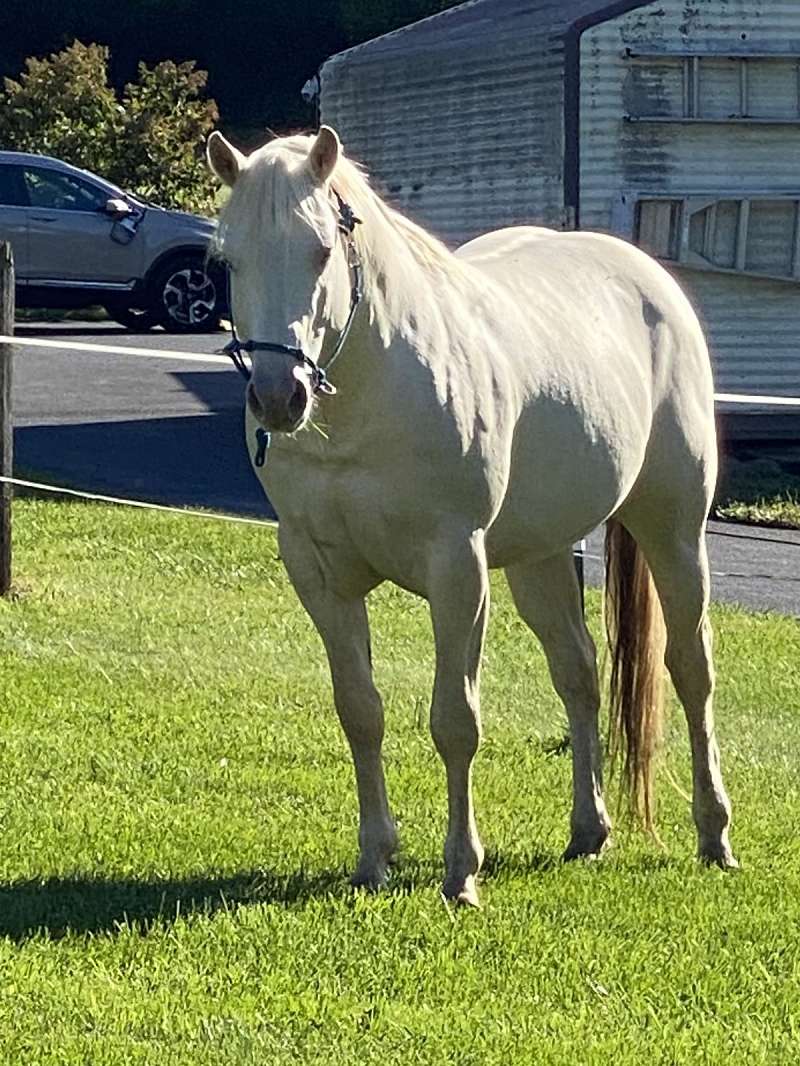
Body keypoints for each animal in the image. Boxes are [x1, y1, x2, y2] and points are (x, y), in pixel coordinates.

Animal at [208, 128, 738, 903]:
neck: (371, 400)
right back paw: (590, 831)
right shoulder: (319, 573)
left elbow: (455, 721)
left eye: (321, 250)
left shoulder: (458, 568)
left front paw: (461, 871)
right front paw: (374, 857)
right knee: (578, 672)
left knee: (691, 670)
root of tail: (650, 279)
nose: (281, 398)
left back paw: (714, 833)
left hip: (673, 529)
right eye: (228, 259)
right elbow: (359, 711)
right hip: (541, 556)